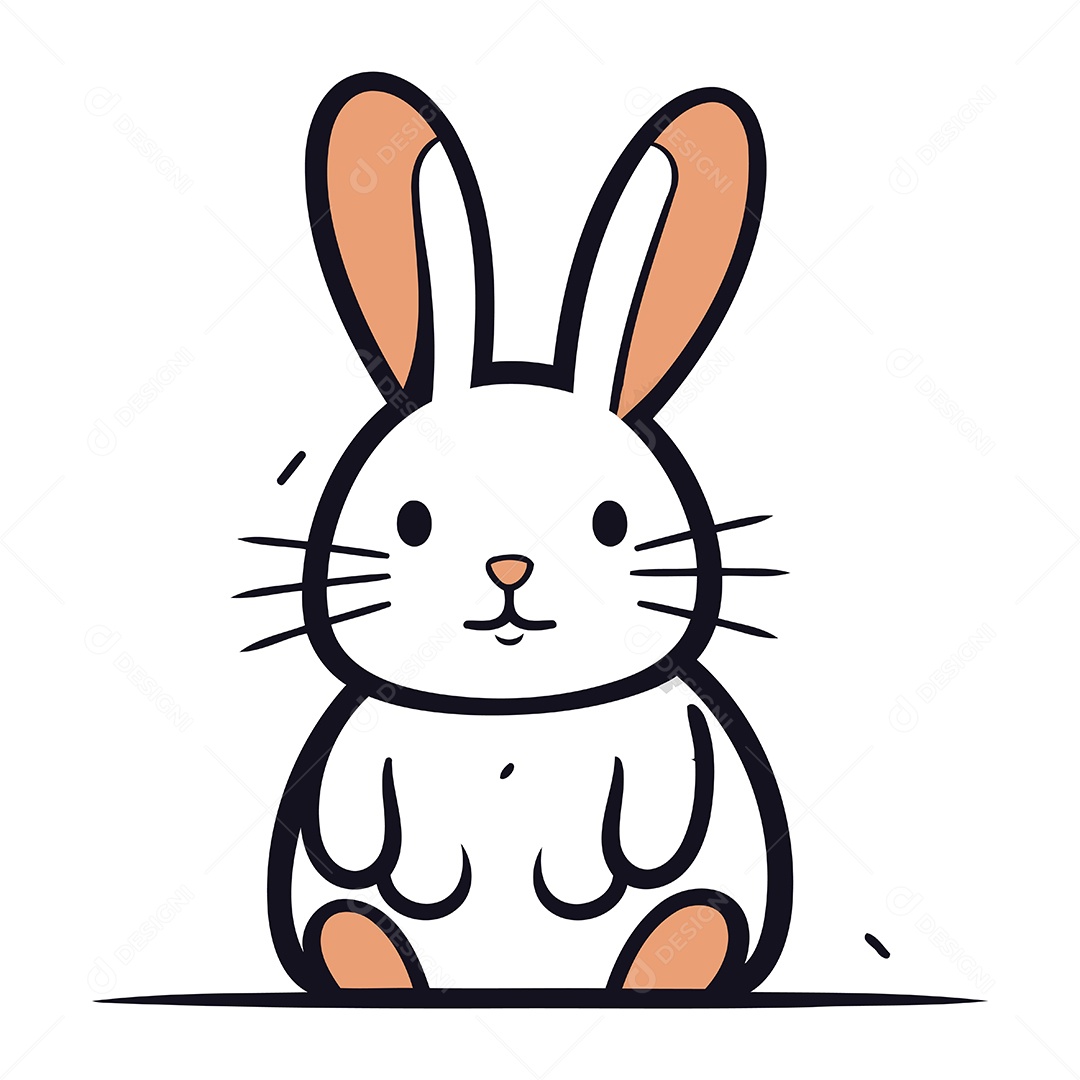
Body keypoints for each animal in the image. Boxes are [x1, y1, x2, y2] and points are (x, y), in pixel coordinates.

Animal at [248, 72, 793, 998]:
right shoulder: (365, 741)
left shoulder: (669, 732)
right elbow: (353, 800)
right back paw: (373, 963)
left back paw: (665, 962)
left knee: (701, 918)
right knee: (344, 921)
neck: (511, 713)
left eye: (609, 523)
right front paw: (424, 873)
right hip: (339, 917)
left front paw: (580, 874)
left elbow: (662, 784)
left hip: (713, 905)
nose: (510, 567)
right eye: (414, 521)